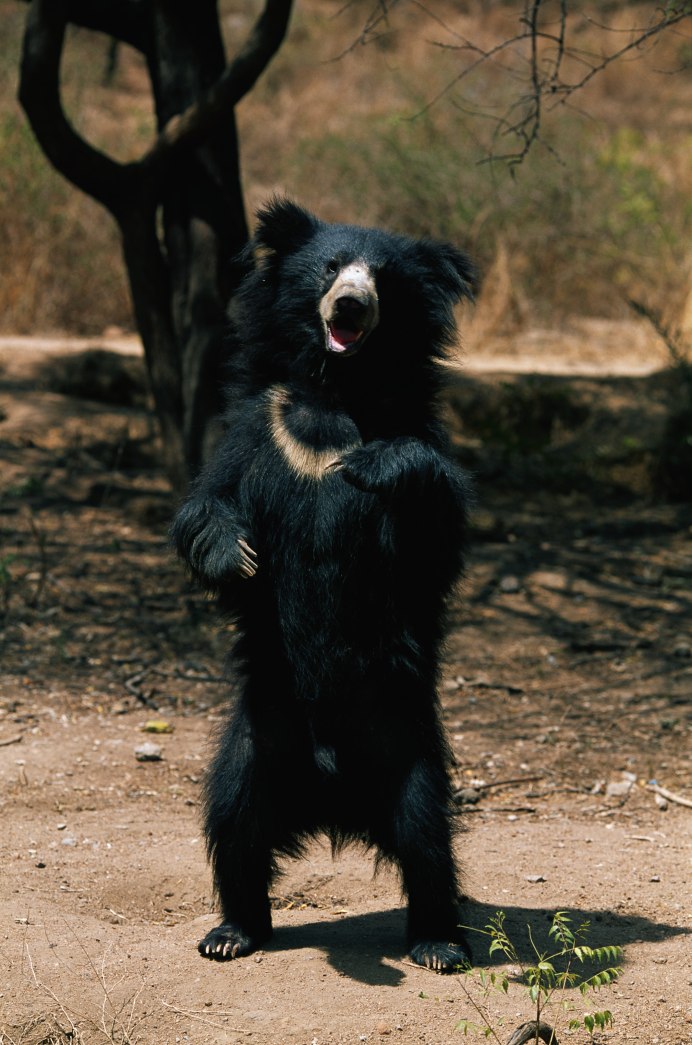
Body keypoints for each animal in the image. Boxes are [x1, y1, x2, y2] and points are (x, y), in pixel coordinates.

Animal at [173, 197, 476, 969]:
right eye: (332, 269)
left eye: (383, 279)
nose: (349, 304)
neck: (336, 394)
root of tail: (334, 797)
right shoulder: (254, 433)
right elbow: (206, 507)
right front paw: (236, 554)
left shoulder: (414, 436)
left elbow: (434, 529)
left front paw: (373, 465)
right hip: (259, 739)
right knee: (235, 823)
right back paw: (231, 932)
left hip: (405, 744)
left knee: (427, 837)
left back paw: (438, 942)